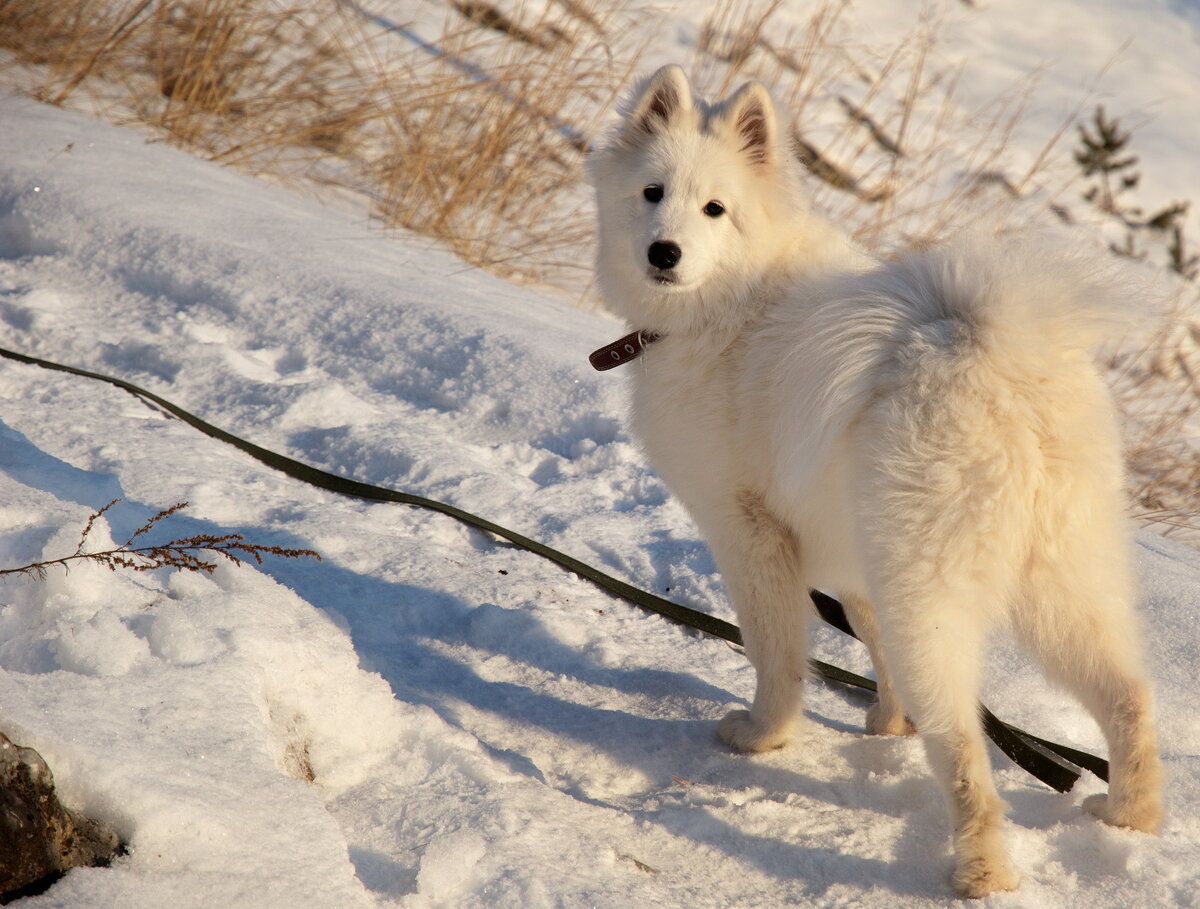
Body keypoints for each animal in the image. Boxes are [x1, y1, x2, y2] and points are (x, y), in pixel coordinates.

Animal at [590, 67, 1161, 901]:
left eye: (715, 209)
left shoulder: (747, 530)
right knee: (1127, 696)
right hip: (1061, 582)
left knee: (967, 751)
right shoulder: (851, 556)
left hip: (935, 595)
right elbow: (870, 642)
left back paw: (981, 870)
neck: (731, 300)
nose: (664, 251)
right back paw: (1130, 818)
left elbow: (776, 653)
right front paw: (888, 726)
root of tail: (999, 367)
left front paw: (761, 735)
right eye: (651, 191)